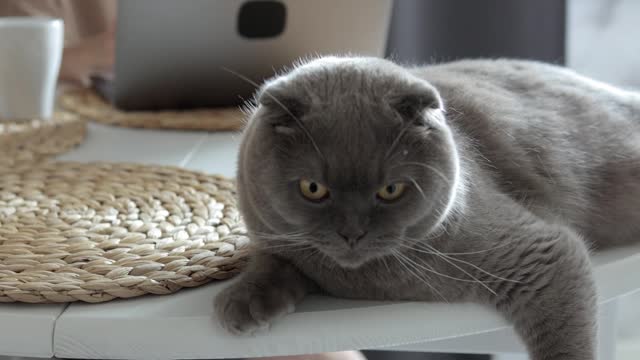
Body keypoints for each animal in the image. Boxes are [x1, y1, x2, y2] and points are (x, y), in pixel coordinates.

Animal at [215, 56, 640, 360]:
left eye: (390, 190)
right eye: (313, 188)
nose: (352, 233)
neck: (360, 281)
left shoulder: (540, 253)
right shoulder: (271, 234)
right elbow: (273, 259)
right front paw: (244, 303)